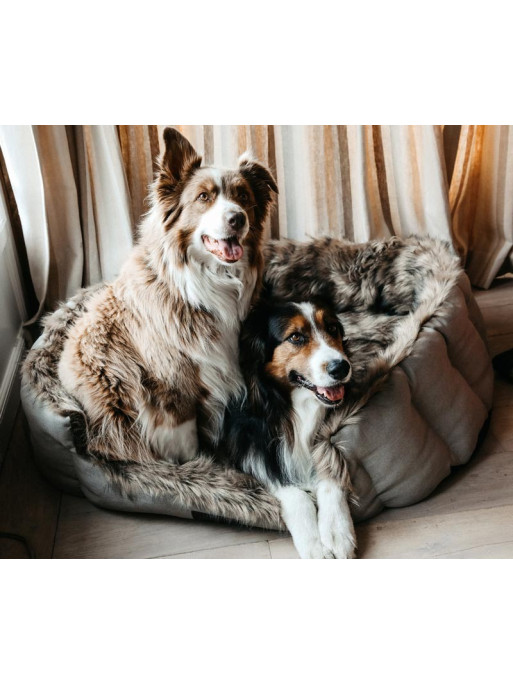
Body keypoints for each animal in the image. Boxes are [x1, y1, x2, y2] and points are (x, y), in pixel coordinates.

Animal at [57, 128, 276, 464]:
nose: (237, 218)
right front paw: (198, 467)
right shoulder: (171, 386)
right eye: (204, 197)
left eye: (243, 197)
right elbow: (186, 443)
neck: (206, 282)